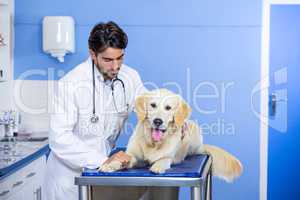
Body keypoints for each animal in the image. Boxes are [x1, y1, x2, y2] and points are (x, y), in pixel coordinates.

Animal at [101, 88, 241, 182]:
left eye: (168, 108)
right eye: (153, 105)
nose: (158, 121)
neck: (153, 143)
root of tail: (202, 146)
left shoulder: (168, 157)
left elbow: (163, 159)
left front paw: (157, 166)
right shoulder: (134, 156)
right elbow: (124, 158)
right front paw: (109, 165)